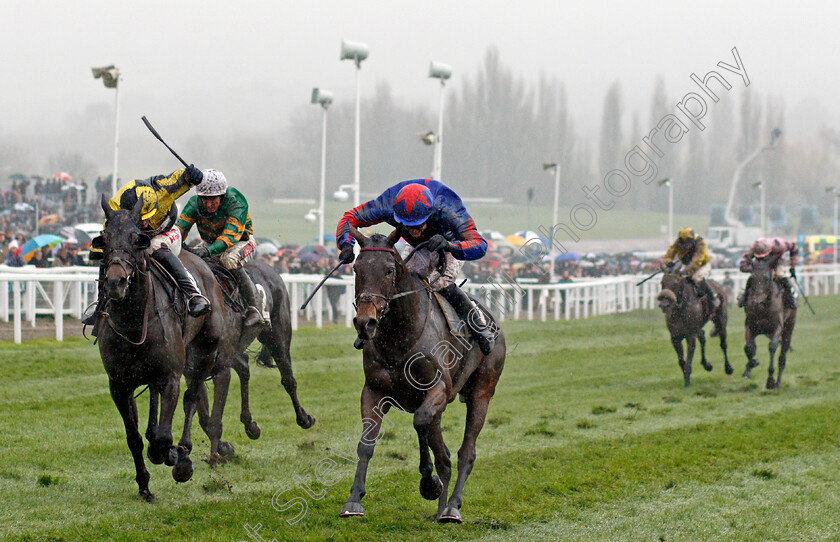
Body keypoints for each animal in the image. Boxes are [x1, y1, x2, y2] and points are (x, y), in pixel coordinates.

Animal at [94, 194, 223, 502]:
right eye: (105, 238)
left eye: (136, 238)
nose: (115, 282)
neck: (133, 323)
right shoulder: (119, 385)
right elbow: (134, 437)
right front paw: (144, 484)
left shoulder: (170, 377)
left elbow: (165, 436)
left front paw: (175, 457)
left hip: (205, 351)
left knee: (192, 397)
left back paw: (184, 451)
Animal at [190, 262, 316, 466]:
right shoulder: (192, 370)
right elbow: (203, 416)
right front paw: (224, 448)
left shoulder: (219, 365)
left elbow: (213, 416)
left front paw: (216, 456)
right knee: (244, 366)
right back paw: (250, 425)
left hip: (278, 335)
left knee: (288, 380)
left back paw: (304, 418)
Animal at [340, 227, 506, 524]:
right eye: (357, 268)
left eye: (389, 270)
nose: (365, 322)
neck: (400, 336)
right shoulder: (373, 391)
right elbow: (366, 444)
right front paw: (354, 499)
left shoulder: (439, 389)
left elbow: (420, 423)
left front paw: (430, 482)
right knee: (440, 443)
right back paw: (441, 503)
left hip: (482, 392)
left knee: (466, 451)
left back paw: (451, 507)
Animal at [740, 256, 796, 392]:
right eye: (752, 278)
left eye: (766, 279)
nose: (756, 302)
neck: (763, 308)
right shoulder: (750, 326)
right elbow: (749, 348)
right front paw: (751, 366)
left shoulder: (777, 327)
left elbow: (772, 347)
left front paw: (770, 380)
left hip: (789, 327)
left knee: (782, 356)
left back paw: (778, 383)